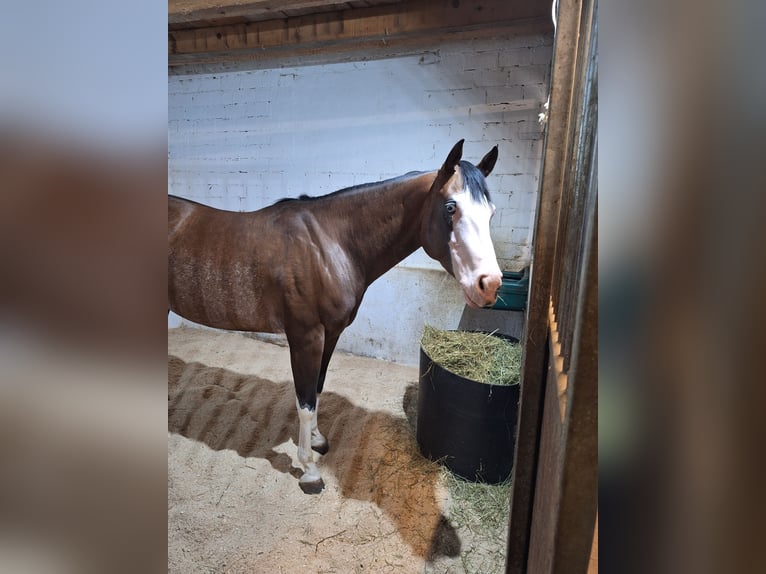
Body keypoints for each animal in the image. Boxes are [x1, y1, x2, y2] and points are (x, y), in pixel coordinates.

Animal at [168, 140, 504, 496]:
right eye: (451, 208)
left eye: (491, 212)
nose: (489, 285)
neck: (330, 245)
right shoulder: (305, 337)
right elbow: (304, 402)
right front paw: (309, 470)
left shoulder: (330, 333)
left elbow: (316, 389)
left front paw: (317, 440)